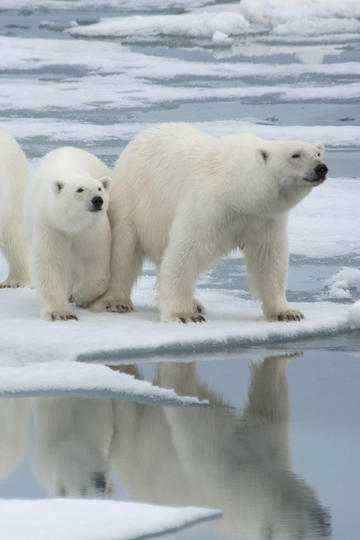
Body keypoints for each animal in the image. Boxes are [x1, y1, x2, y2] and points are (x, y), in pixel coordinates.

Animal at [25, 147, 111, 320]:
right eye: (80, 189)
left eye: (99, 188)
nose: (97, 200)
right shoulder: (51, 225)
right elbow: (49, 261)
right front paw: (60, 313)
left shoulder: (93, 229)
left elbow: (97, 263)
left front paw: (80, 295)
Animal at [93, 124, 330, 322]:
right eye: (295, 155)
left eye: (318, 153)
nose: (321, 168)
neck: (239, 190)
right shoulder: (209, 205)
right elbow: (186, 250)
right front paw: (184, 315)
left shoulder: (264, 218)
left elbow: (269, 258)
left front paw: (287, 312)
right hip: (134, 197)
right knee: (124, 249)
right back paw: (116, 301)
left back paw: (195, 303)